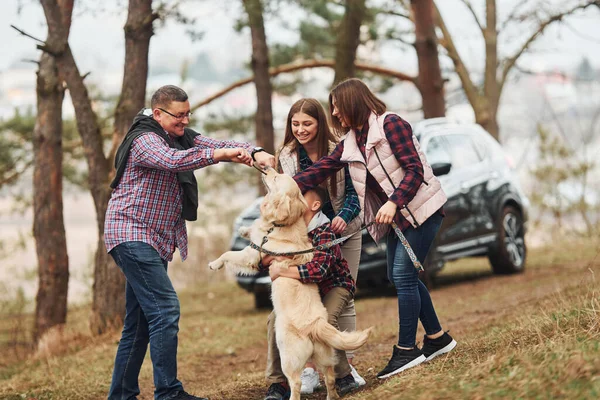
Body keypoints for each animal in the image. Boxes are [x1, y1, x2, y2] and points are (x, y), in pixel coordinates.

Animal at [209, 167, 372, 398]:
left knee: (295, 382)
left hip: (288, 354)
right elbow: (253, 229)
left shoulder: (252, 255)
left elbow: (229, 254)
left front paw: (214, 264)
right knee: (330, 377)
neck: (280, 225)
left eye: (277, 178)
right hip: (324, 355)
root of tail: (316, 325)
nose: (267, 168)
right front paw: (244, 230)